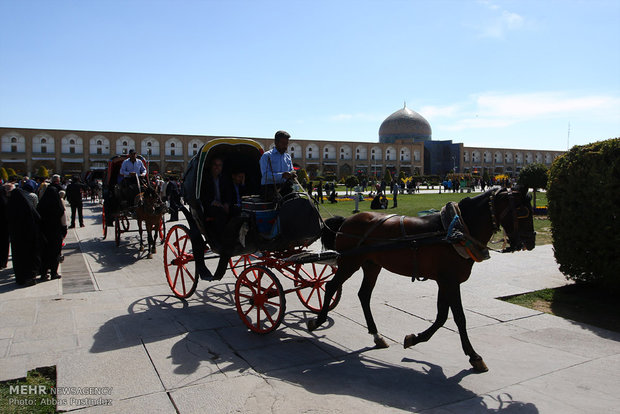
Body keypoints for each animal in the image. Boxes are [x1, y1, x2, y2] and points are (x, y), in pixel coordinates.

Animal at [308, 188, 536, 372]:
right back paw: (319, 319)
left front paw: (415, 338)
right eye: (523, 212)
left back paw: (376, 335)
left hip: (371, 264)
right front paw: (474, 356)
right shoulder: (450, 281)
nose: (531, 242)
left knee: (364, 294)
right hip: (350, 262)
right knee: (331, 286)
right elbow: (459, 317)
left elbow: (442, 316)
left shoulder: (445, 281)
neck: (456, 230)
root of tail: (346, 221)